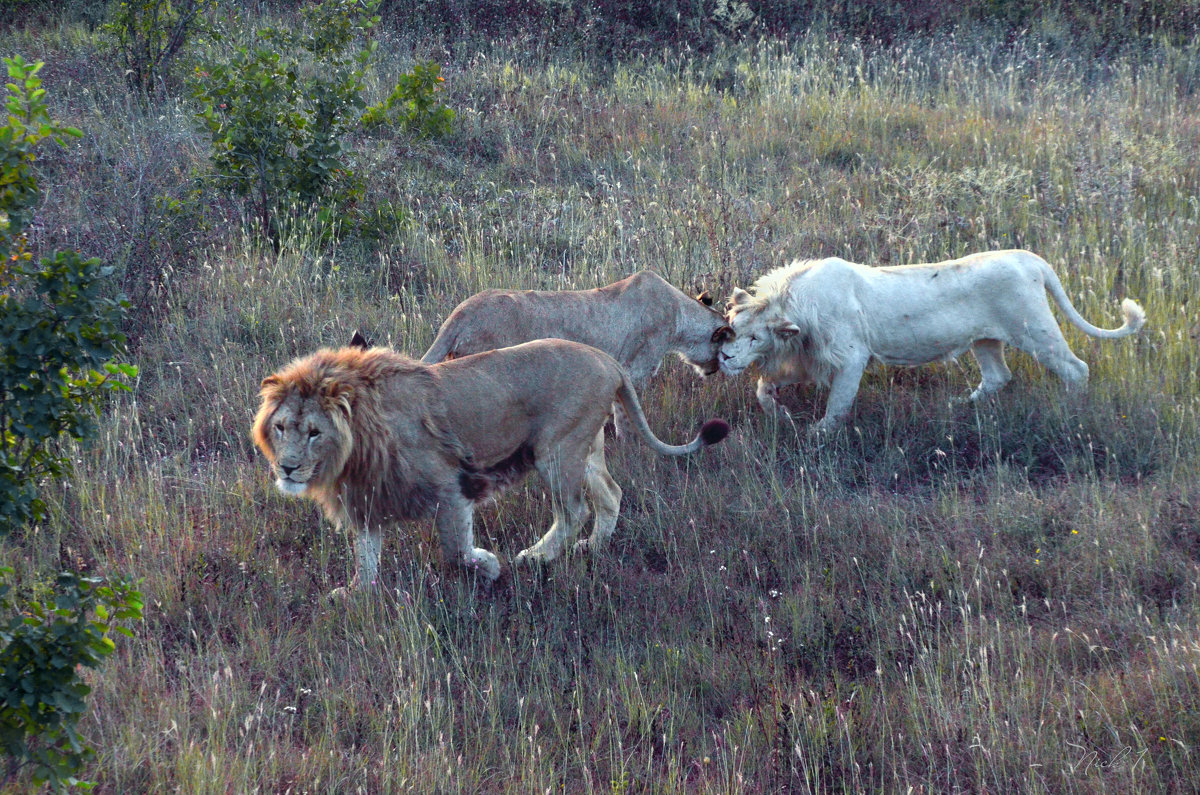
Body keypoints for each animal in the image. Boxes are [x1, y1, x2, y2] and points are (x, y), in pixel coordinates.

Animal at [250, 333, 729, 590]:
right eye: (282, 427)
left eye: (314, 432)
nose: (288, 468)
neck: (355, 447)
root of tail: (608, 360)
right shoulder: (368, 497)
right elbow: (365, 555)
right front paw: (355, 594)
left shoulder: (449, 485)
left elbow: (456, 549)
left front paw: (489, 566)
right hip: (586, 447)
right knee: (610, 494)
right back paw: (593, 548)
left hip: (556, 450)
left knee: (574, 510)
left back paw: (536, 557)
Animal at [715, 250, 1147, 432]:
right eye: (731, 328)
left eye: (754, 337)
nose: (723, 358)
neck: (793, 302)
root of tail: (1031, 258)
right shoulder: (807, 359)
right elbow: (762, 386)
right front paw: (780, 416)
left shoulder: (851, 357)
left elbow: (838, 405)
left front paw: (817, 434)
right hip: (985, 339)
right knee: (998, 376)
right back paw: (959, 408)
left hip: (1035, 330)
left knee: (1076, 368)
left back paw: (1073, 413)